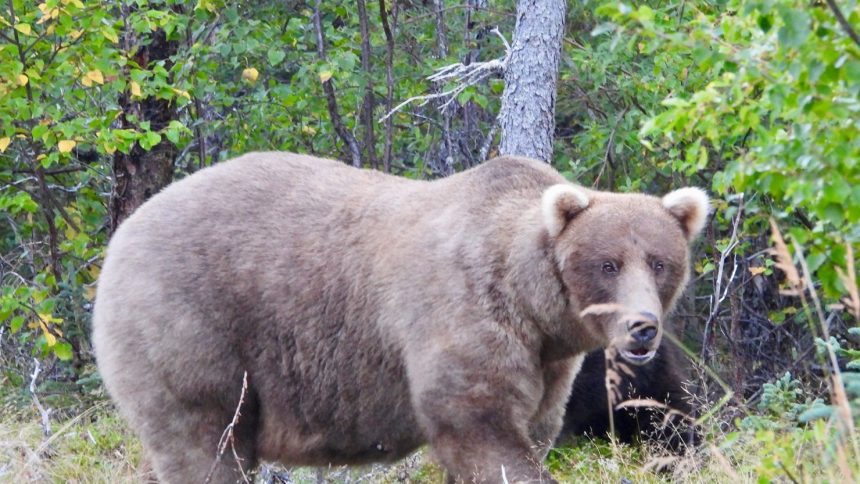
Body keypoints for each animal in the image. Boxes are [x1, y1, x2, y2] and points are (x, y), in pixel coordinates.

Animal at [90, 153, 708, 482]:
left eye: (660, 262)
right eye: (607, 264)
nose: (642, 327)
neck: (534, 307)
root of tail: (122, 234)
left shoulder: (550, 364)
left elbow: (541, 423)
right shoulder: (462, 313)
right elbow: (481, 425)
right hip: (192, 326)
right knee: (206, 441)